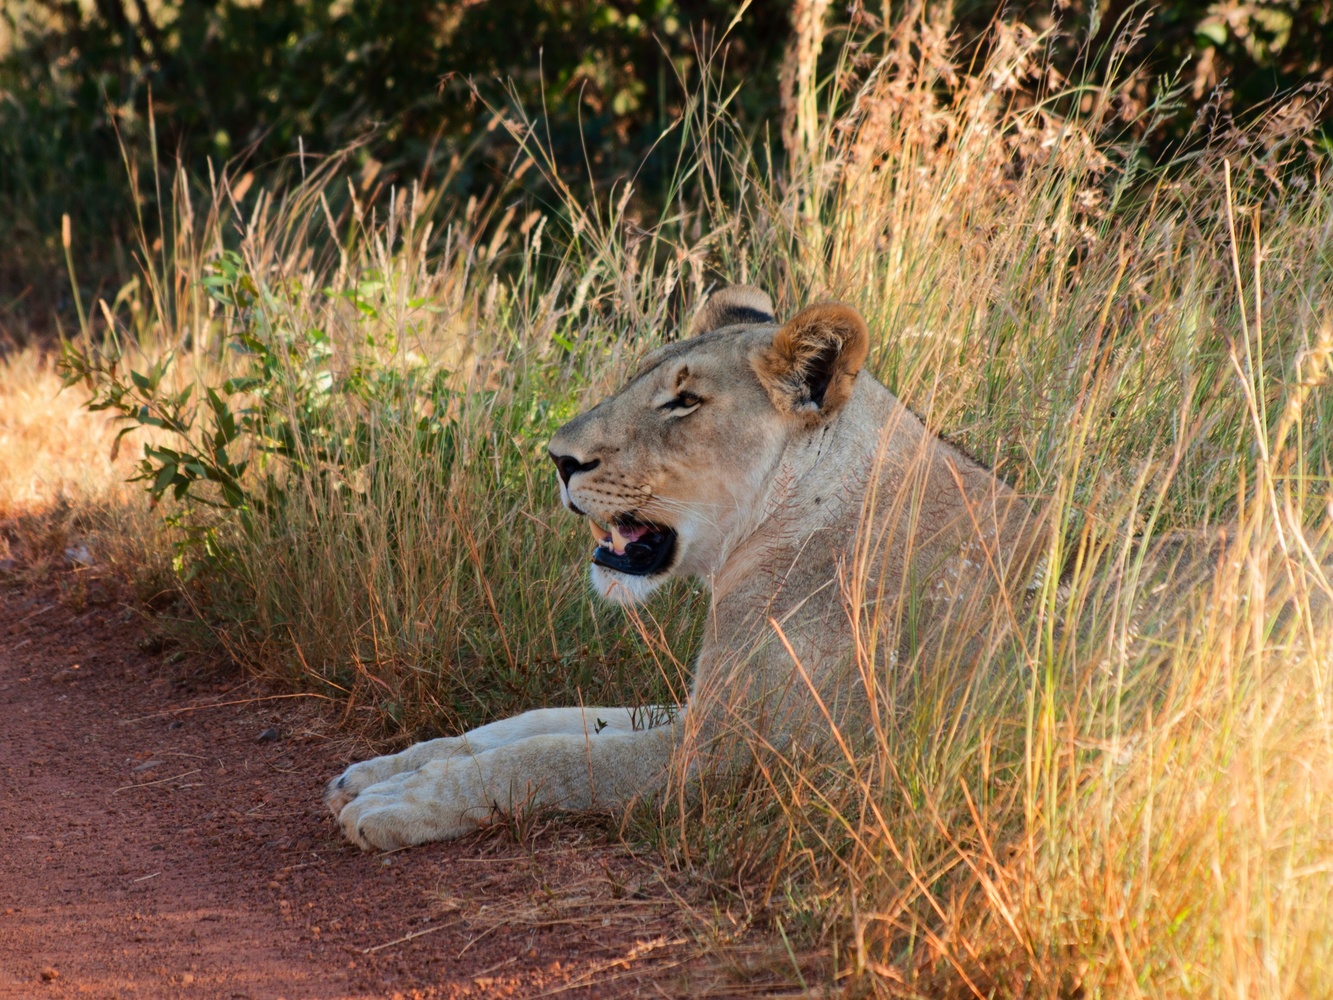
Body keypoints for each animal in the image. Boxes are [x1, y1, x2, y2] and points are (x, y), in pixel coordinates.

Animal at [326, 286, 1046, 851]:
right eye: (637, 380)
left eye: (683, 401)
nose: (557, 458)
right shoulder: (703, 704)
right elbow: (540, 719)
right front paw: (379, 770)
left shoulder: (723, 756)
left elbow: (548, 757)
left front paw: (398, 802)